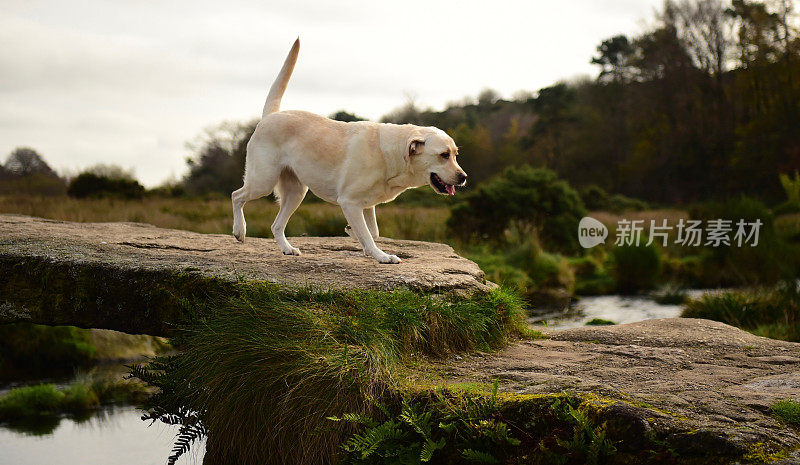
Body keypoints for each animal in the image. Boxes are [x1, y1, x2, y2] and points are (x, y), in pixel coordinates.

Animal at [231, 39, 466, 264]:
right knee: (236, 196)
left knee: (276, 225)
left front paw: (354, 235)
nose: (464, 177)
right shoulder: (350, 202)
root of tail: (271, 115)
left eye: (455, 154)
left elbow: (373, 232)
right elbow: (369, 235)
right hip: (263, 181)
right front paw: (381, 256)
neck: (389, 155)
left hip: (296, 192)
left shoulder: (366, 205)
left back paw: (287, 249)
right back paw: (239, 231)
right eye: (444, 155)